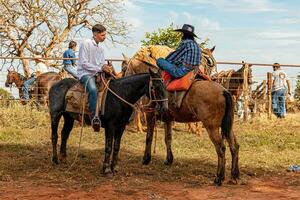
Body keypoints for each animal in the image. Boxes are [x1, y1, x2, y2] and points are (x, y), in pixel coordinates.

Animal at [123, 46, 239, 185]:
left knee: (221, 148)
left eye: (125, 68)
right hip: (227, 126)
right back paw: (234, 175)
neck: (152, 82)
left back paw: (219, 177)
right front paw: (168, 160)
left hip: (212, 127)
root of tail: (224, 91)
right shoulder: (167, 119)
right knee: (234, 146)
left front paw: (146, 159)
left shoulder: (150, 115)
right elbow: (168, 139)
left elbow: (149, 137)